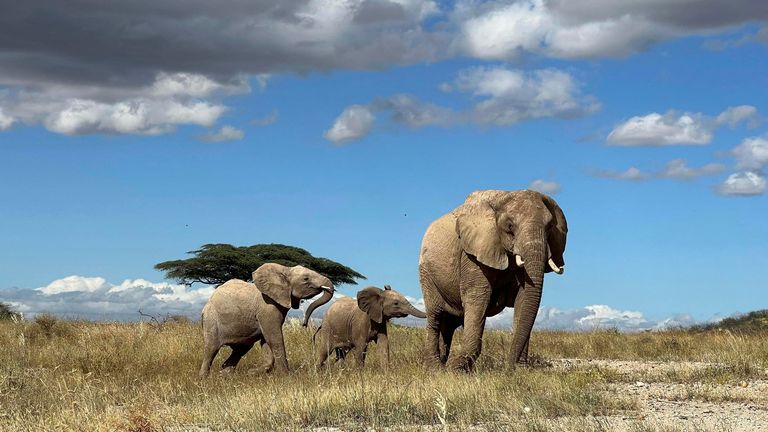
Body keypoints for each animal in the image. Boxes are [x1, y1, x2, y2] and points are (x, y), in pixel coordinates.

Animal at [198, 262, 332, 376]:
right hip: (211, 319)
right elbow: (274, 338)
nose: (304, 324)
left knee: (241, 349)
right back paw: (203, 379)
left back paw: (224, 375)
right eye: (306, 279)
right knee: (211, 349)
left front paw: (253, 372)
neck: (285, 269)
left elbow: (266, 341)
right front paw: (286, 376)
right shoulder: (267, 307)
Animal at [416, 189, 568, 372]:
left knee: (450, 323)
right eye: (509, 226)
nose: (508, 369)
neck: (504, 196)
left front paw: (521, 370)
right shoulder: (472, 254)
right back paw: (436, 368)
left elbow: (524, 300)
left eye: (550, 227)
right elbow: (477, 297)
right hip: (426, 273)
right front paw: (455, 370)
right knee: (435, 315)